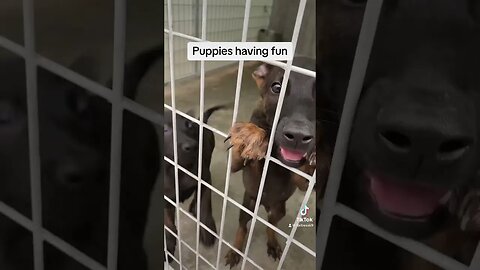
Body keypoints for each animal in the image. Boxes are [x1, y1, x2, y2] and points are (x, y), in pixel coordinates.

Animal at [163, 105, 225, 262]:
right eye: (164, 129)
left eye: (188, 125)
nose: (192, 146)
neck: (176, 169)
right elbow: (168, 223)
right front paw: (169, 245)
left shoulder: (205, 179)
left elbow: (204, 205)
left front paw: (207, 231)